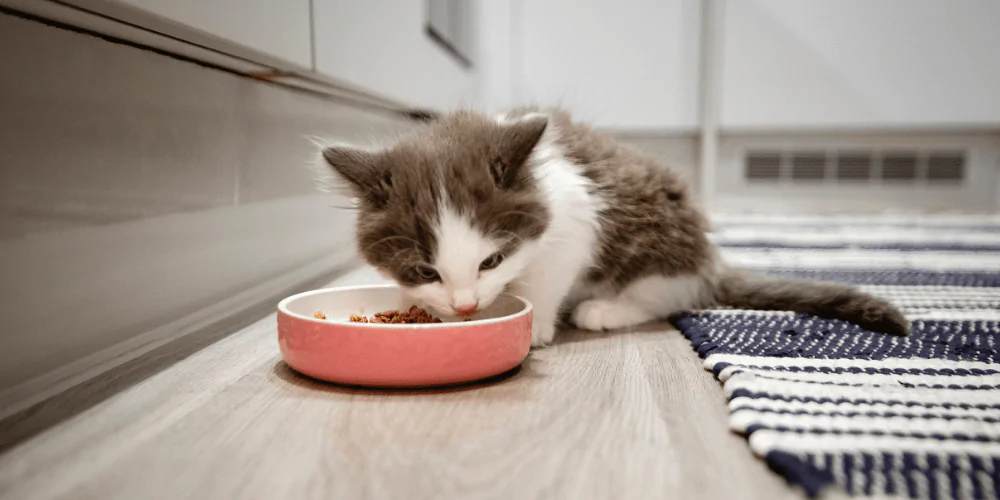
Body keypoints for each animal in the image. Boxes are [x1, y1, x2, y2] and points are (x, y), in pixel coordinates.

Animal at [318, 107, 908, 346]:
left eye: (492, 260)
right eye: (425, 271)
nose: (465, 306)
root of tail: (710, 258)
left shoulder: (574, 222)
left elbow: (546, 278)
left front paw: (535, 327)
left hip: (657, 240)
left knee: (668, 293)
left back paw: (604, 309)